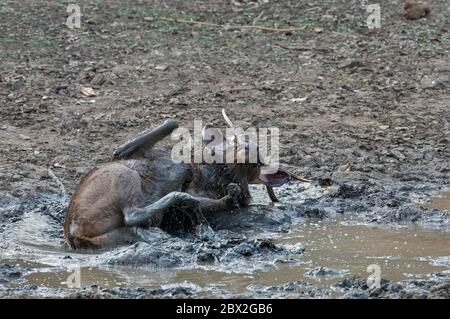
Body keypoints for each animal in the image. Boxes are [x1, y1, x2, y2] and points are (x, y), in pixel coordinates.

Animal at [63, 112, 296, 250]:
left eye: (257, 164)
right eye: (236, 142)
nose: (249, 150)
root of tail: (74, 234)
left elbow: (226, 199)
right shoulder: (126, 154)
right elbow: (170, 123)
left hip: (123, 177)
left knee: (133, 215)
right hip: (121, 175)